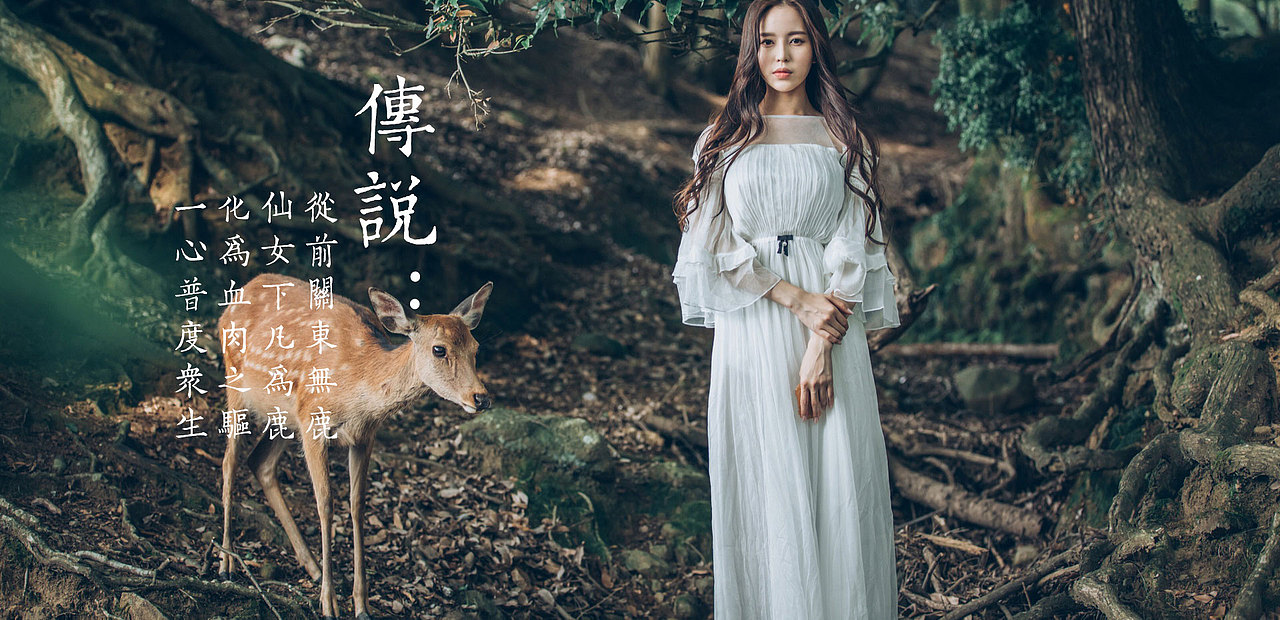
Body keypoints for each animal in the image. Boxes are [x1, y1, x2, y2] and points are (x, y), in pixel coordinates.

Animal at [216, 273, 493, 619]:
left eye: (476, 347)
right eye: (439, 349)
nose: (480, 397)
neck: (358, 386)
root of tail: (241, 292)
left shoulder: (364, 436)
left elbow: (357, 504)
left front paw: (361, 604)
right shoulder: (313, 419)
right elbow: (325, 503)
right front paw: (329, 603)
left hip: (284, 417)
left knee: (260, 462)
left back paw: (311, 566)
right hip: (236, 382)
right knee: (229, 461)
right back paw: (225, 562)